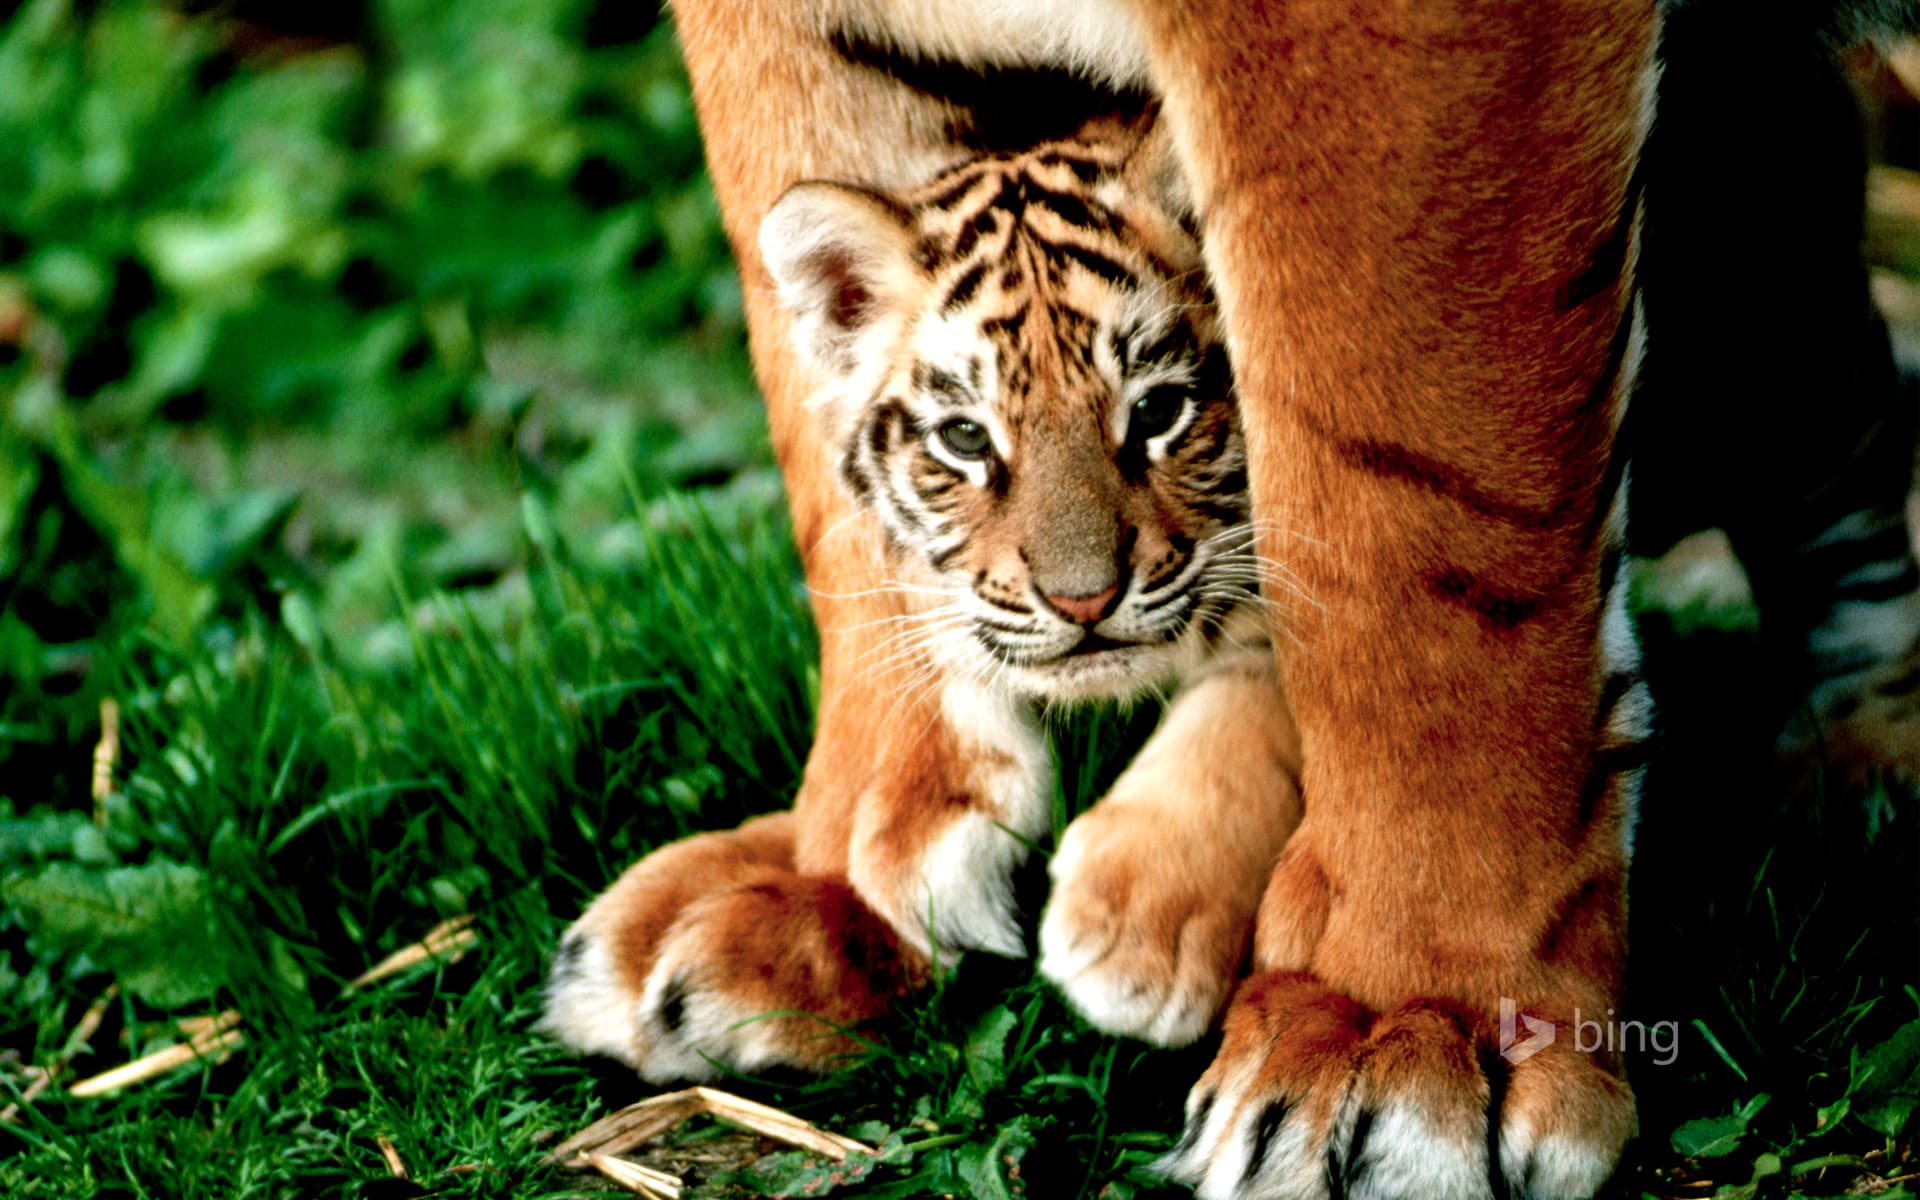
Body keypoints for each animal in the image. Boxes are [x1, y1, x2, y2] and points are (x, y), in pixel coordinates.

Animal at [546, 2, 1920, 1199]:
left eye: (1156, 414)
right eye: (965, 440)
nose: (1080, 598)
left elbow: (1391, 566)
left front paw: (1371, 1022)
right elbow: (819, 432)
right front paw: (838, 879)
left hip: (1768, 329)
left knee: (1849, 452)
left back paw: (1860, 772)